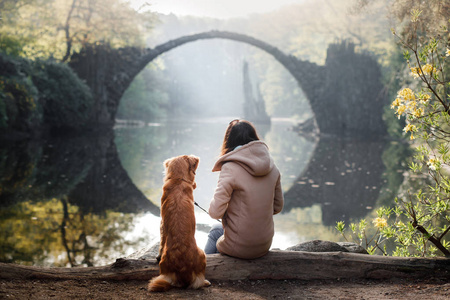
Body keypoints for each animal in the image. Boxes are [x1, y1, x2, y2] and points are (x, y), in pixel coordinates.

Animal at [149, 156, 210, 292]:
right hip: (202, 254)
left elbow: (161, 243)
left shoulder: (162, 224)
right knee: (198, 281)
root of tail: (183, 272)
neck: (178, 180)